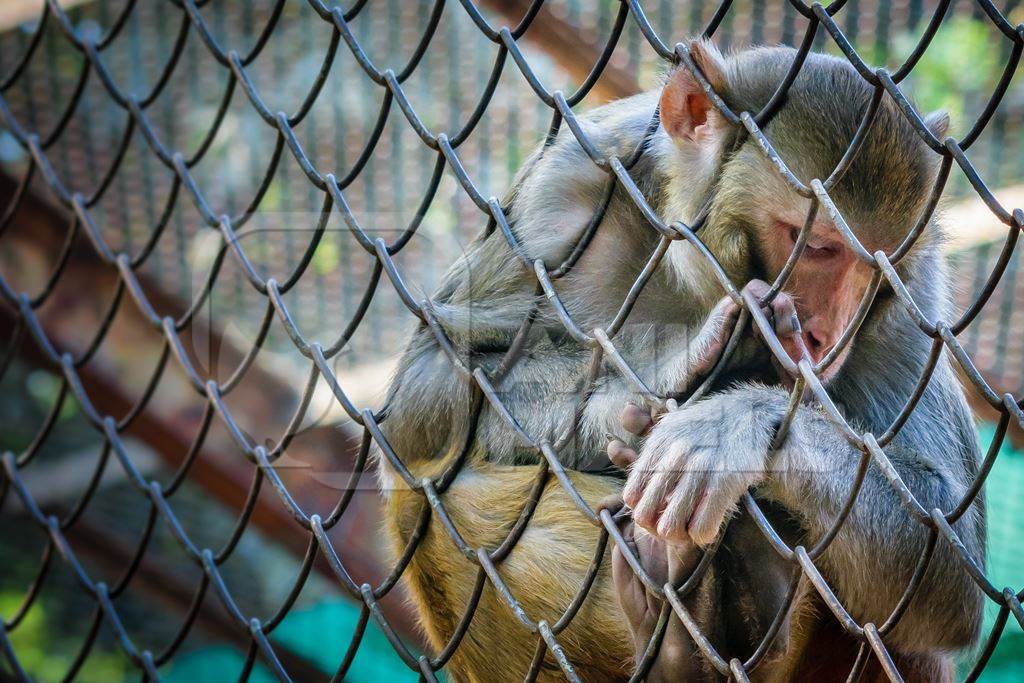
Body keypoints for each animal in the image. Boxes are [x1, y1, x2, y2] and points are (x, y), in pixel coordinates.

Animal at [376, 41, 983, 683]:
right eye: (816, 247)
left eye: (875, 274)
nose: (827, 337)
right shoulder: (565, 190)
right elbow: (428, 382)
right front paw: (663, 379)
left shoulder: (917, 289)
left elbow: (950, 549)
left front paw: (730, 425)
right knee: (426, 488)